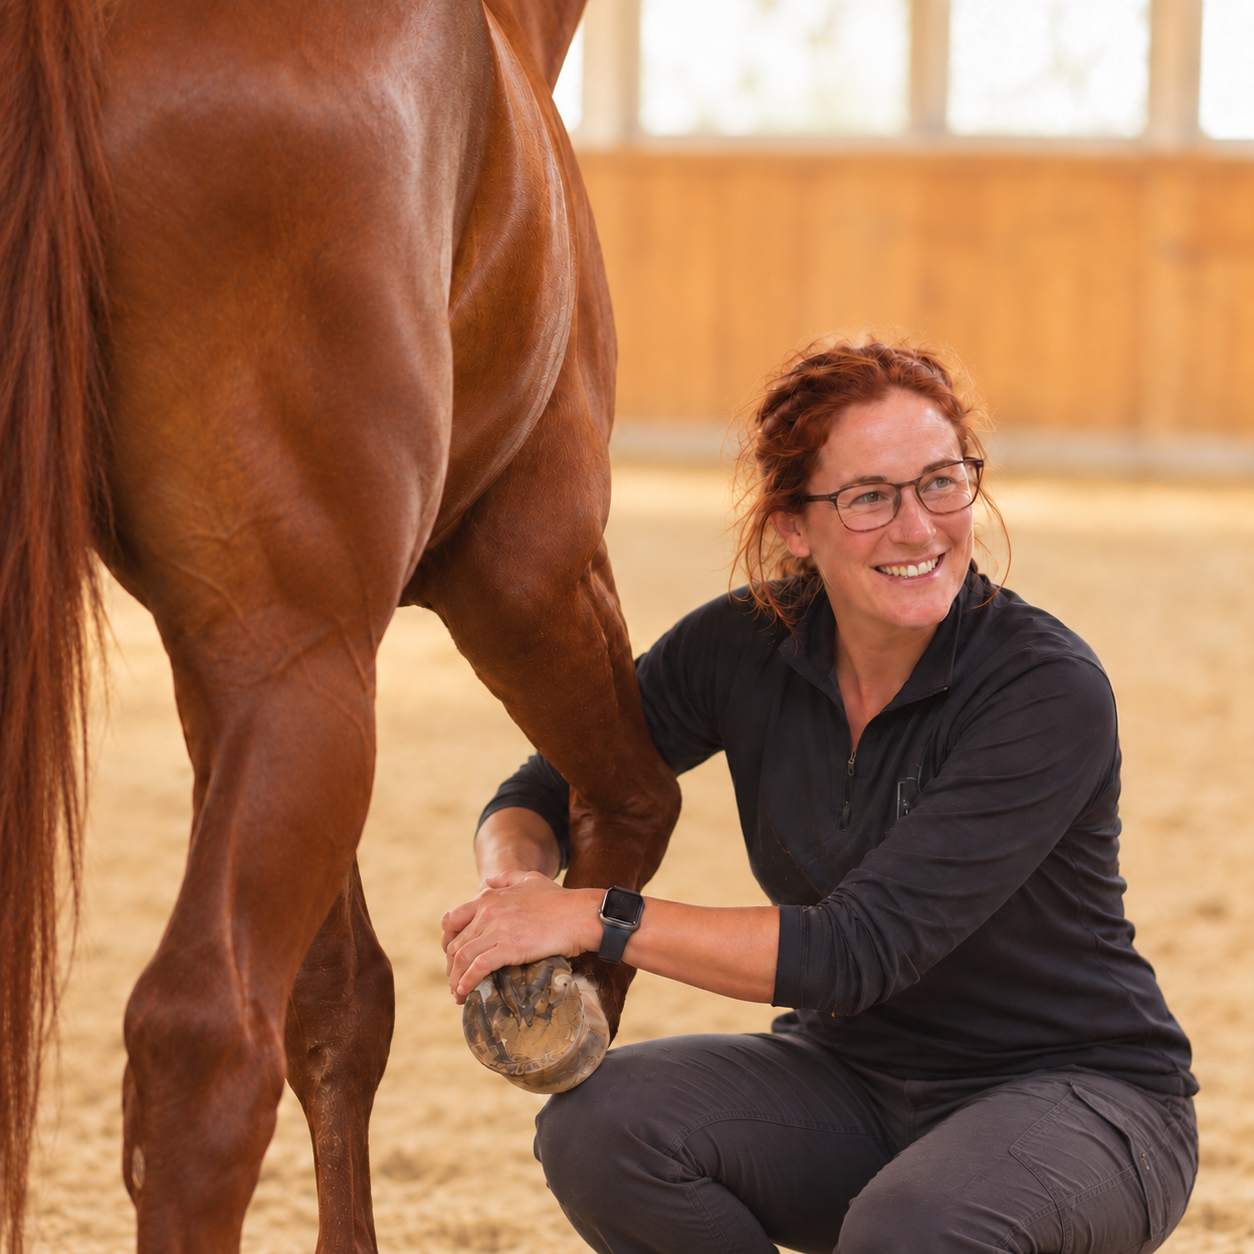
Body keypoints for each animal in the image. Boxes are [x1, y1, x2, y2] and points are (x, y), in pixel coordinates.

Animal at [0, 0, 681, 1248]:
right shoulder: (525, 565)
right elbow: (637, 795)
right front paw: (562, 999)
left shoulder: (238, 665)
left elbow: (340, 1003)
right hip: (323, 656)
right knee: (206, 1048)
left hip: (288, 671)